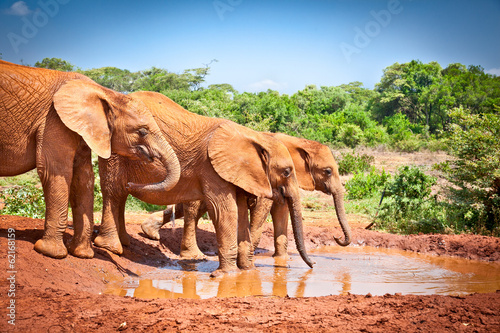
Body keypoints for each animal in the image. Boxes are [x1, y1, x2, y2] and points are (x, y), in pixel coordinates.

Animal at [0, 61, 180, 260]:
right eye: (142, 131)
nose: (130, 184)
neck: (105, 93)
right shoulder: (53, 120)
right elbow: (56, 171)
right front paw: (50, 252)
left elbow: (83, 178)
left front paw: (82, 254)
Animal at [96, 90, 314, 274]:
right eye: (286, 171)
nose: (313, 265)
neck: (255, 137)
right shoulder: (212, 169)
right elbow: (225, 211)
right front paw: (226, 275)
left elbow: (240, 213)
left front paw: (248, 271)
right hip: (114, 149)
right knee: (114, 191)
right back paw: (110, 246)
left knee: (121, 195)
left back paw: (125, 242)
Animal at [142, 132, 352, 264]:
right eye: (328, 171)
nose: (337, 238)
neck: (297, 142)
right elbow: (262, 211)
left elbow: (281, 211)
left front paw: (281, 260)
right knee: (193, 210)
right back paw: (192, 255)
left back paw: (149, 231)